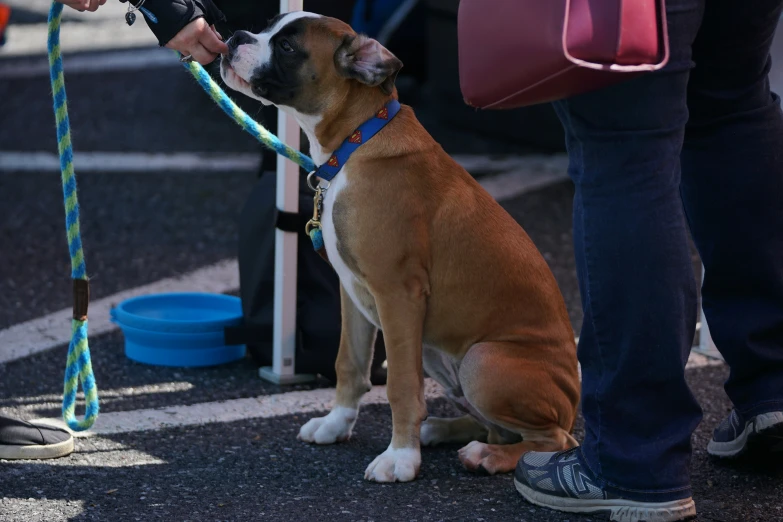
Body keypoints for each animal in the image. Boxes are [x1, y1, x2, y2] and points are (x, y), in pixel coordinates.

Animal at [220, 12, 580, 482]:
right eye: (267, 27)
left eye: (286, 47)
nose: (234, 38)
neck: (356, 140)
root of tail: (573, 400)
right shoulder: (354, 292)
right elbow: (349, 364)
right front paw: (336, 424)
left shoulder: (397, 295)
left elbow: (401, 386)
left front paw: (401, 458)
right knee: (501, 429)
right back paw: (444, 430)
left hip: (483, 360)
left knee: (552, 440)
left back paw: (486, 455)